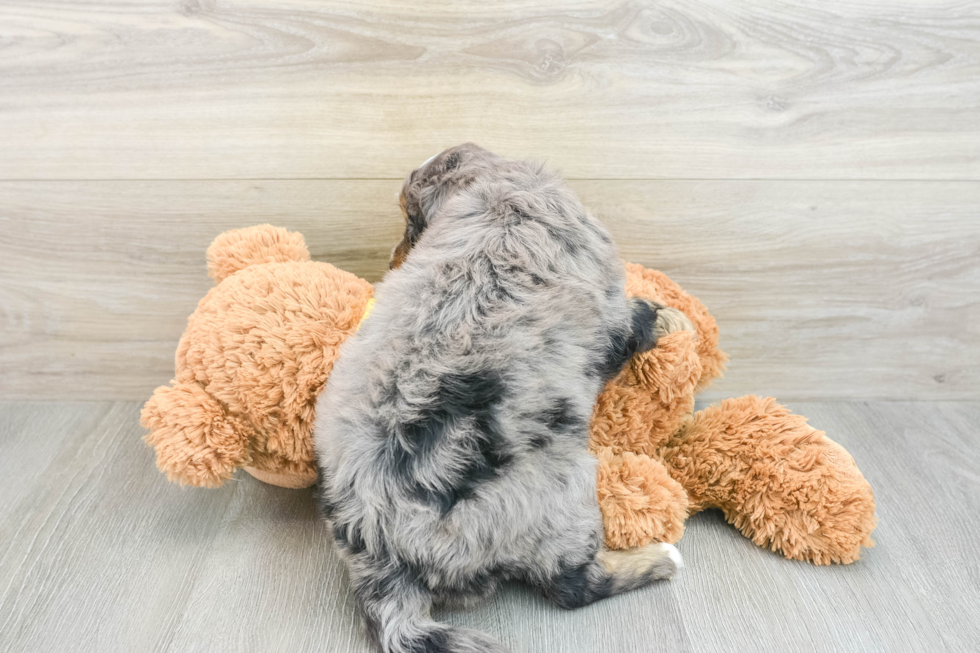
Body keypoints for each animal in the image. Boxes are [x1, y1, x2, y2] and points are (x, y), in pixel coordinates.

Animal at [318, 144, 692, 652]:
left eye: (412, 220)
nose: (392, 263)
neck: (503, 192)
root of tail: (381, 546)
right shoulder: (611, 319)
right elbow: (640, 318)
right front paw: (673, 318)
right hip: (565, 496)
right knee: (573, 585)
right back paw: (661, 558)